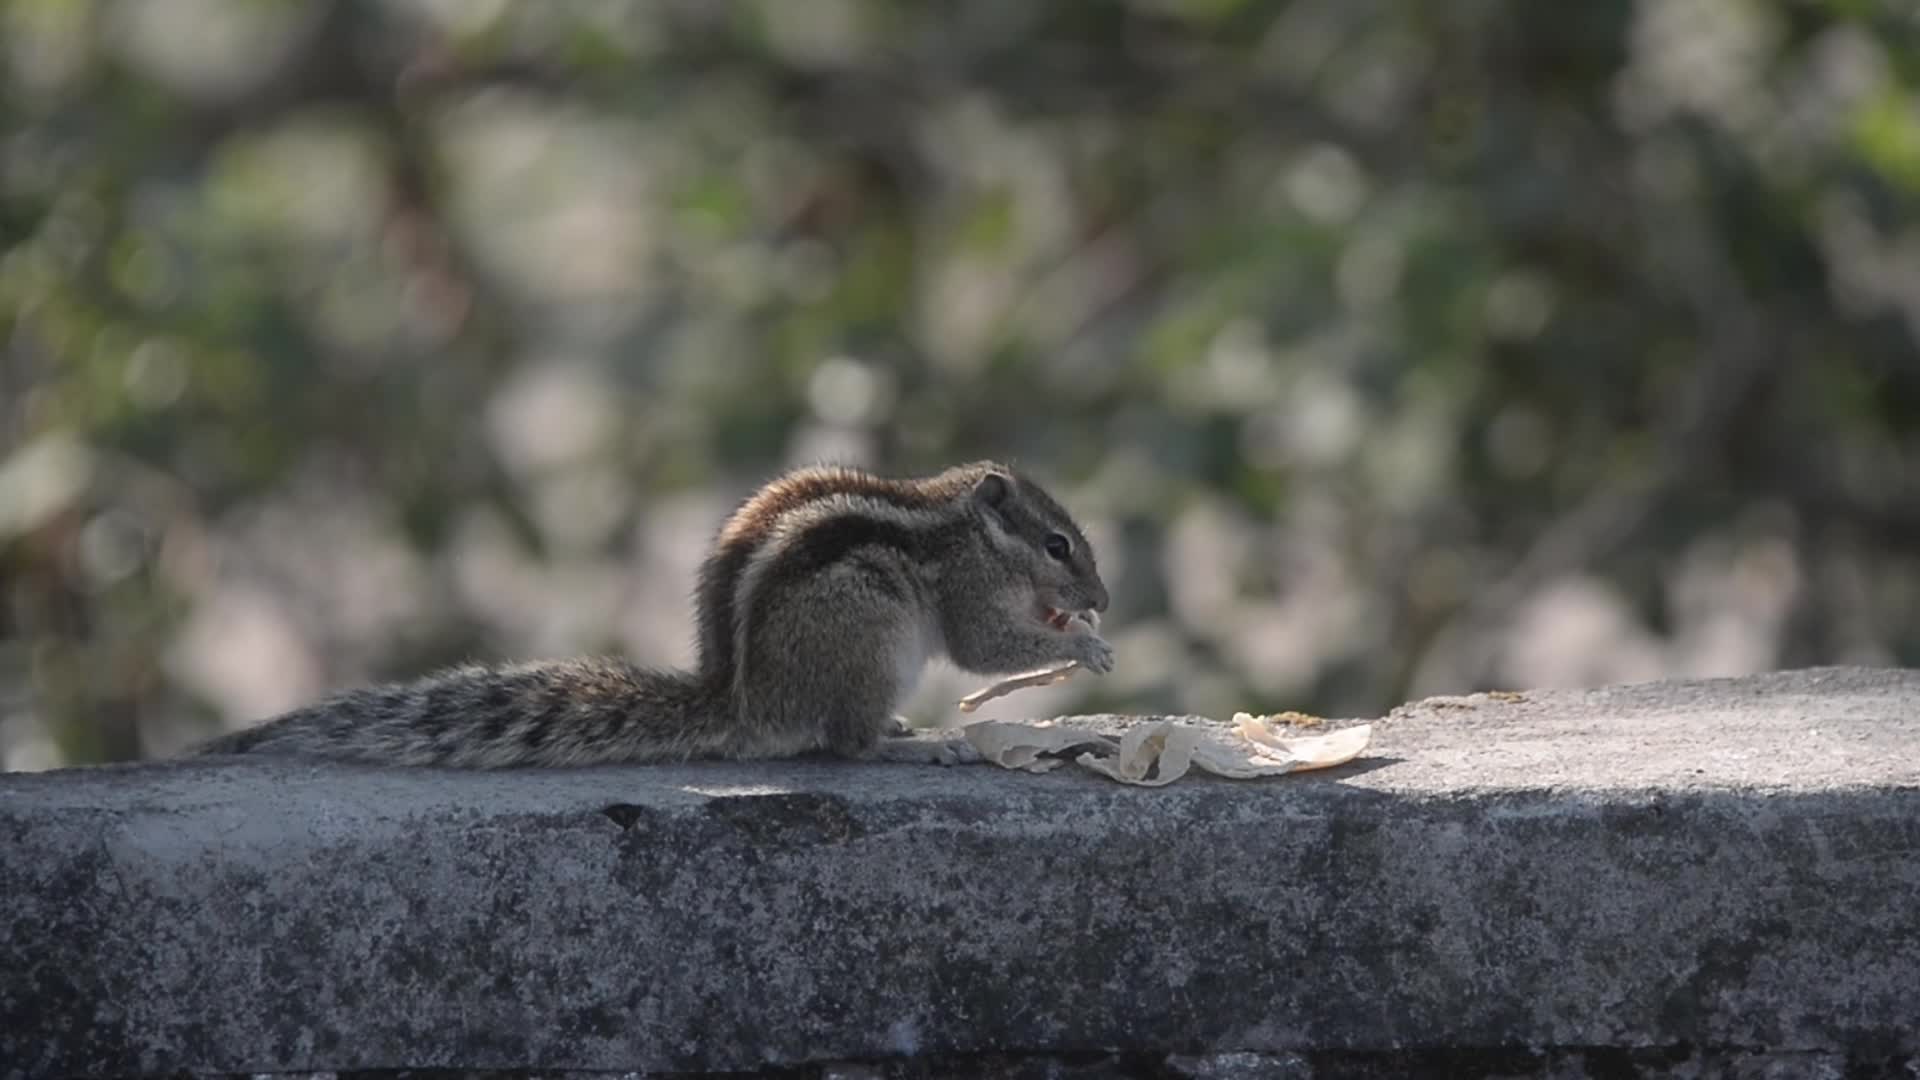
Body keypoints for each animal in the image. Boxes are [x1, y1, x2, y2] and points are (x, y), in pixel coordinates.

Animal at [184, 461, 1114, 768]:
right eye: (1059, 545)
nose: (1104, 600)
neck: (966, 525)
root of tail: (745, 705)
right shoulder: (962, 591)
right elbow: (983, 646)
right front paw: (1083, 647)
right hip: (872, 637)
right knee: (843, 741)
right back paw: (906, 747)